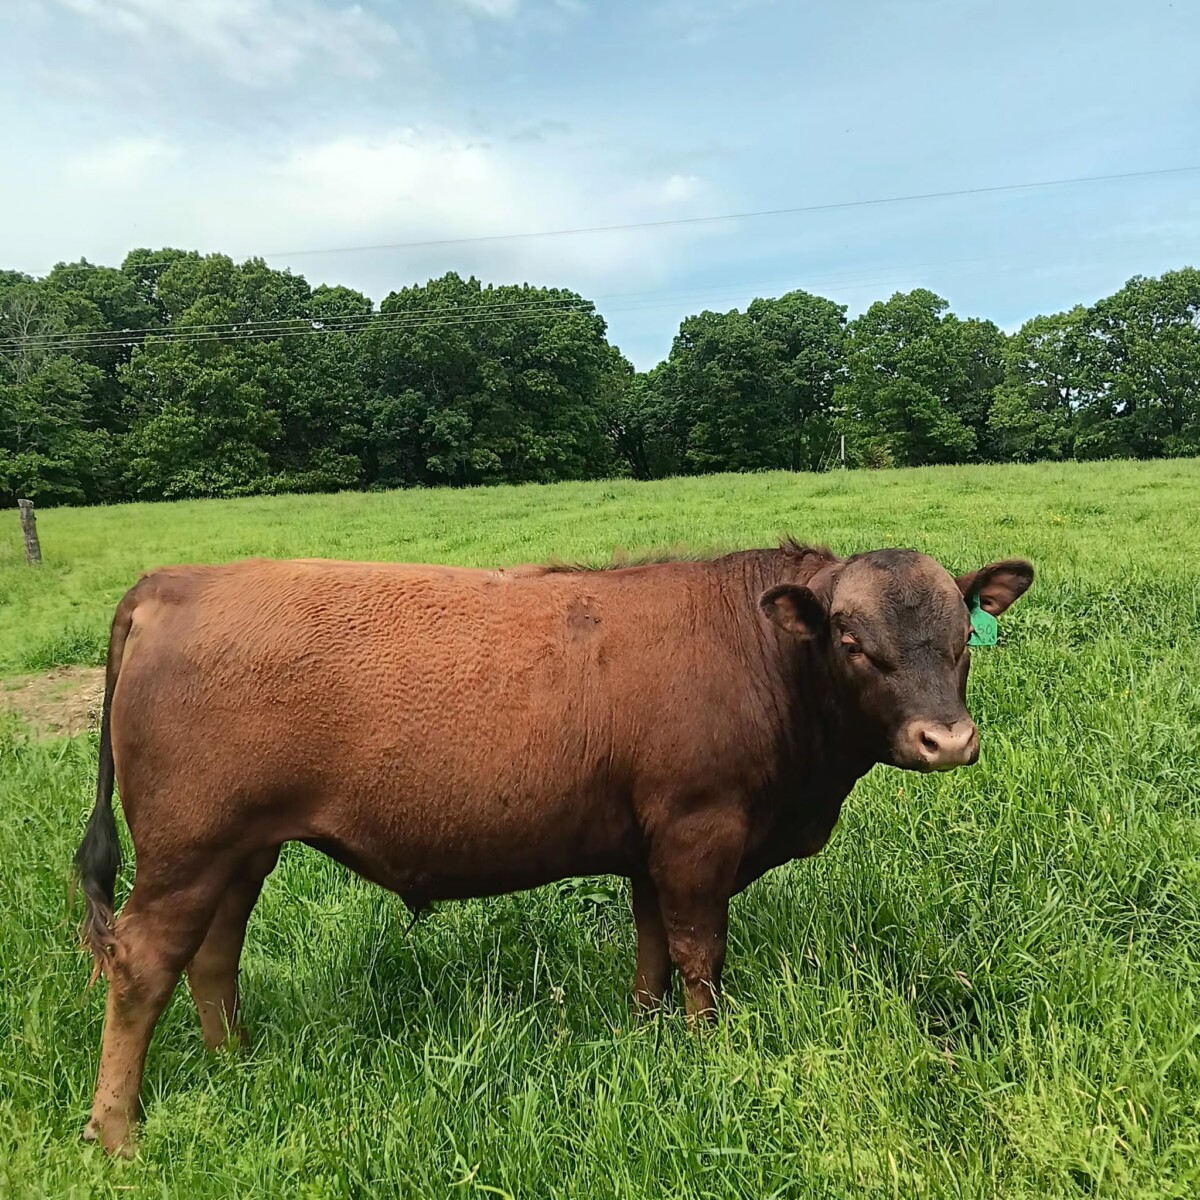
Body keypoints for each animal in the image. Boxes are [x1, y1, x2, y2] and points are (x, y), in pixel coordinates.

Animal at [72, 540, 1033, 1155]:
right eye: (850, 639)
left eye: (962, 637)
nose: (946, 740)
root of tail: (176, 580)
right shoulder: (699, 831)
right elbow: (699, 952)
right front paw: (707, 1051)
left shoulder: (651, 846)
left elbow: (651, 949)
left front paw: (646, 1037)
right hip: (188, 851)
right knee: (144, 962)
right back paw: (116, 1131)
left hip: (241, 851)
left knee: (214, 954)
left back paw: (234, 1062)